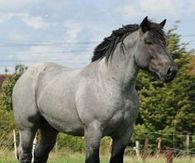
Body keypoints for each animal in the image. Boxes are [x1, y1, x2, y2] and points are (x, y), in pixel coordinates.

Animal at [12, 16, 177, 163]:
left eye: (164, 42)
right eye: (148, 42)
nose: (171, 71)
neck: (112, 85)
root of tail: (25, 75)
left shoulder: (123, 135)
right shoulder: (93, 132)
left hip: (49, 129)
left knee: (40, 154)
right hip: (27, 128)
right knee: (25, 155)